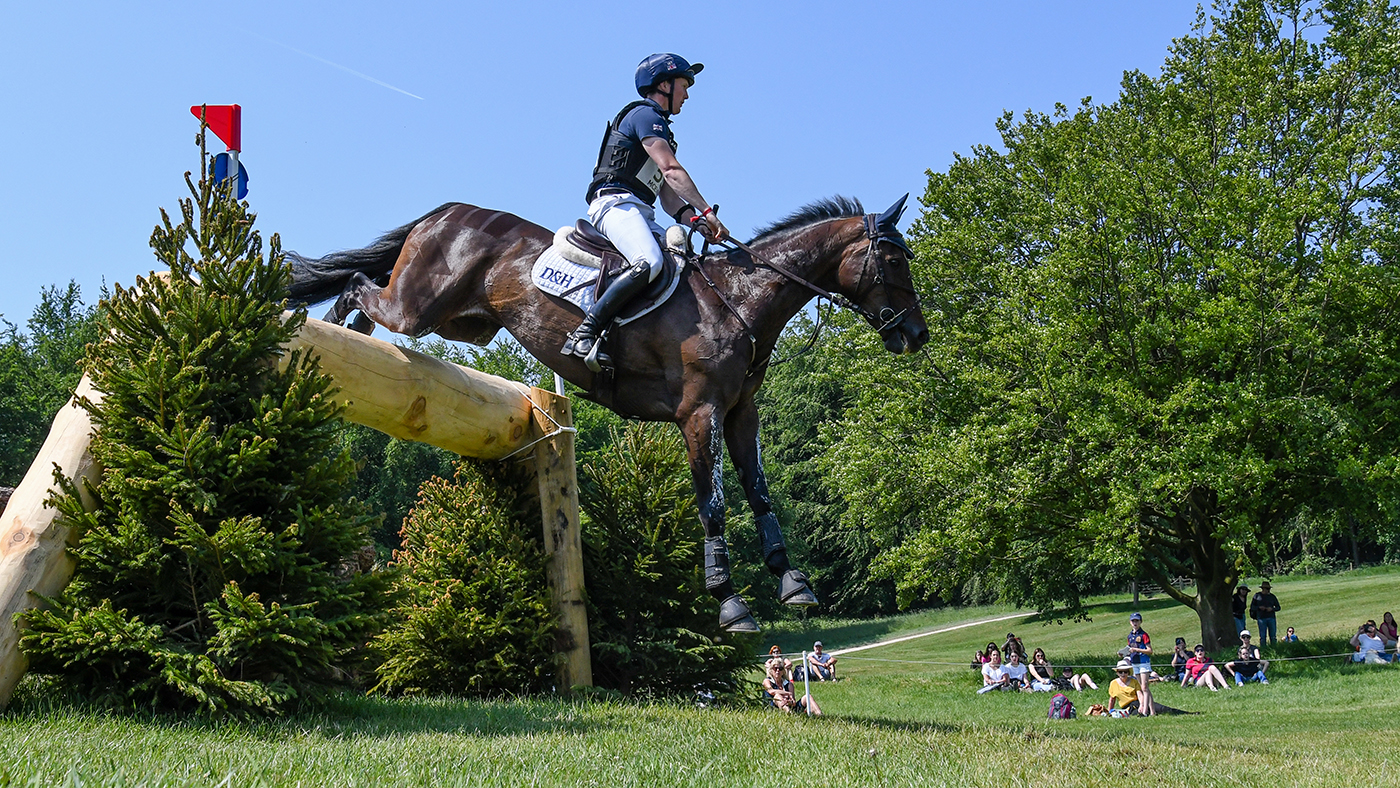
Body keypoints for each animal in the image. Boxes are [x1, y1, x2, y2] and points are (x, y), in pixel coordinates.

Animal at [285, 197, 929, 635]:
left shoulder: (740, 413)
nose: (917, 336)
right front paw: (730, 603)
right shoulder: (699, 414)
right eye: (893, 259)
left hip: (463, 322)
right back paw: (335, 329)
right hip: (418, 306)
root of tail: (446, 210)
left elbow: (760, 494)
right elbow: (714, 505)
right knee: (360, 286)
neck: (739, 300)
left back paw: (348, 335)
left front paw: (793, 583)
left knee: (369, 292)